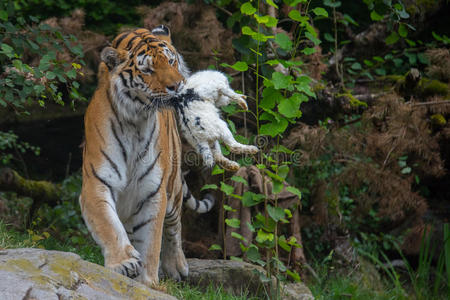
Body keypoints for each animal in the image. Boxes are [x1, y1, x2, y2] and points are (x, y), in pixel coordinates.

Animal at [79, 26, 213, 286]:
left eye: (170, 62)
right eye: (148, 70)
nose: (177, 86)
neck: (135, 121)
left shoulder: (153, 191)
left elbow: (152, 241)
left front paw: (148, 282)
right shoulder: (97, 182)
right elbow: (107, 224)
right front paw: (124, 262)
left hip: (173, 189)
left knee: (174, 226)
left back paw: (178, 266)